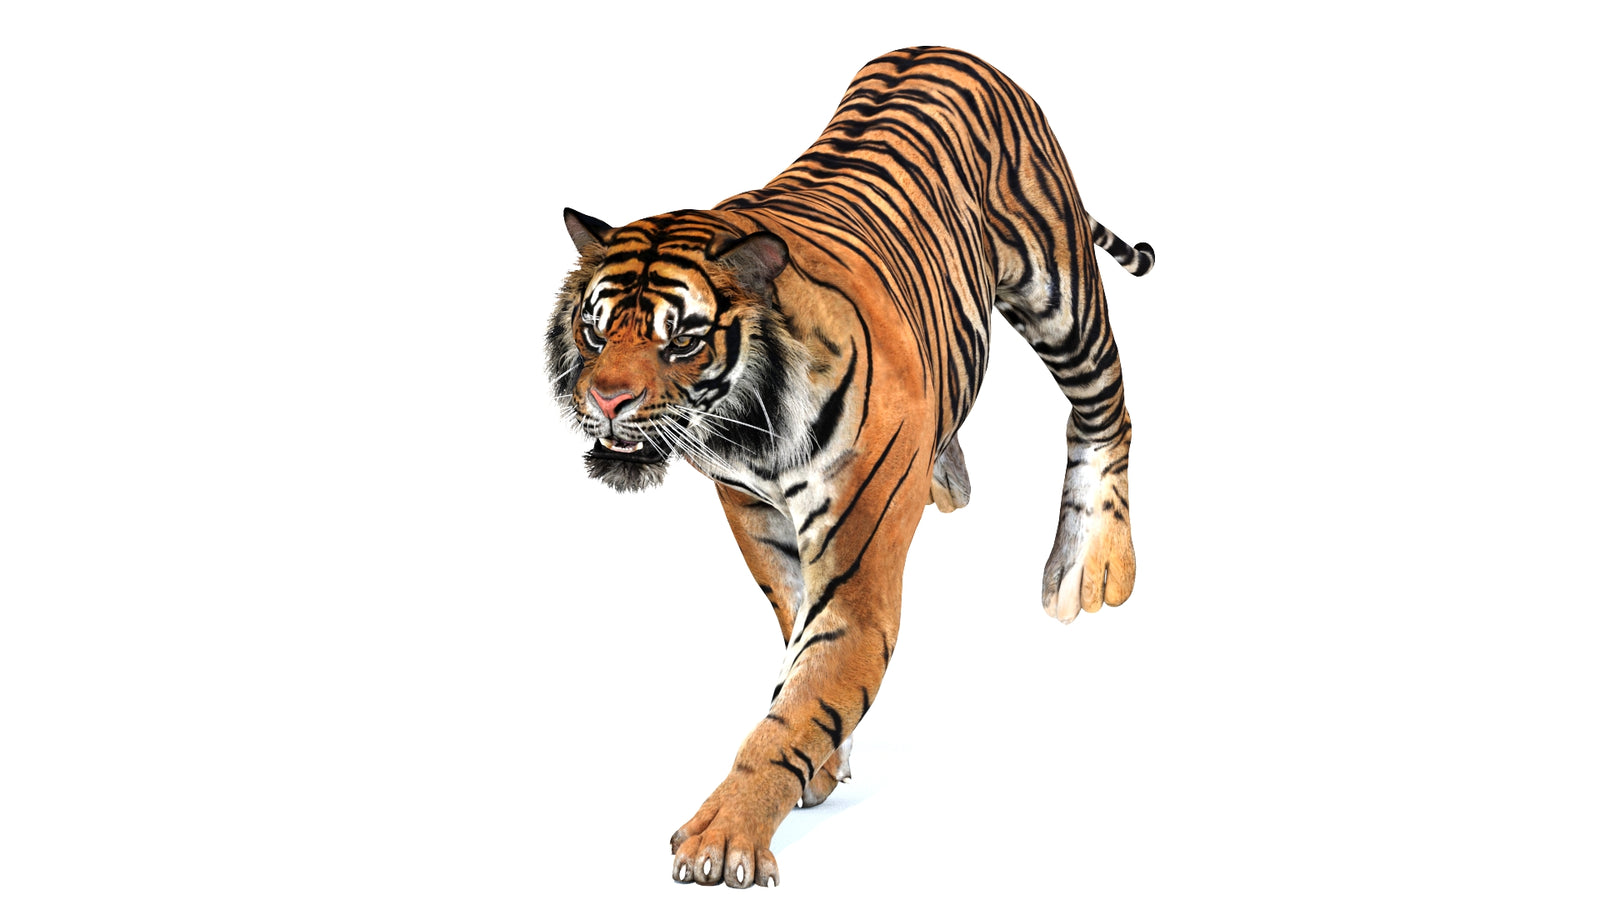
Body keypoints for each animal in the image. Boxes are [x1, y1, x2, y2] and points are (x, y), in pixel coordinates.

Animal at [546, 46, 1153, 888]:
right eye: (595, 329)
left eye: (682, 340)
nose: (603, 400)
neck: (748, 429)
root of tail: (945, 45)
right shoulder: (759, 521)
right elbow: (797, 655)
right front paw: (821, 766)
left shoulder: (859, 572)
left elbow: (805, 697)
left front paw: (723, 840)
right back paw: (948, 480)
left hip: (1056, 287)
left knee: (1105, 410)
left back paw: (1091, 572)